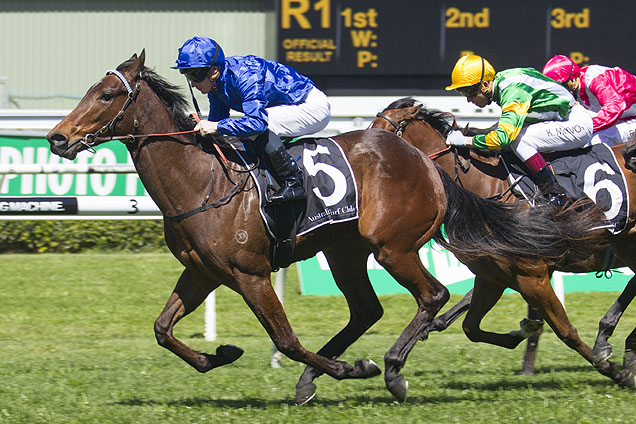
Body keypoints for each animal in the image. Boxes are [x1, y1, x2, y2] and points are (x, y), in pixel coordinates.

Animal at [370, 97, 636, 380]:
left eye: (383, 133)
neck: (489, 191)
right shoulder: (493, 276)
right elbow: (470, 327)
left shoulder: (533, 275)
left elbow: (564, 330)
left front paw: (612, 368)